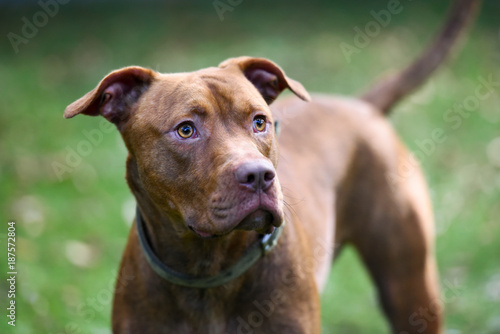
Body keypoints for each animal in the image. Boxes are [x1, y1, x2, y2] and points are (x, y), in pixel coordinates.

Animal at [64, 1, 478, 332]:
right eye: (185, 129)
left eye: (259, 121)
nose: (259, 176)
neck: (206, 272)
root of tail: (362, 106)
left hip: (409, 284)